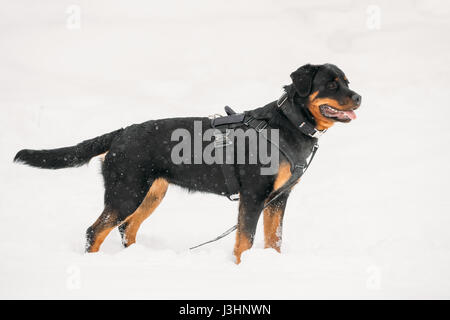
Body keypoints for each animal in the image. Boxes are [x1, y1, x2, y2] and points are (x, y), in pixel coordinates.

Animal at [13, 63, 362, 264]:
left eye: (347, 81)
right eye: (332, 84)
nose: (359, 97)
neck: (288, 124)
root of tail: (121, 133)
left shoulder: (278, 198)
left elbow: (273, 239)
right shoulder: (253, 197)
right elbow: (245, 241)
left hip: (152, 192)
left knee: (127, 227)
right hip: (126, 193)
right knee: (94, 230)